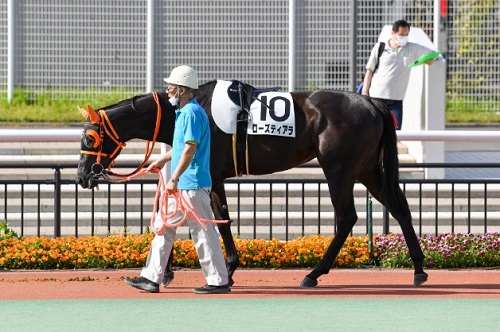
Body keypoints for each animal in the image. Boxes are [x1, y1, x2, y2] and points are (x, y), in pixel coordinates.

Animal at [76, 80, 428, 288]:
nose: (82, 176)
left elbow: (216, 220)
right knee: (400, 208)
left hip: (339, 170)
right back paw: (419, 269)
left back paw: (313, 274)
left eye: (90, 137)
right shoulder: (214, 178)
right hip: (367, 170)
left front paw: (224, 270)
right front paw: (173, 269)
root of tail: (373, 104)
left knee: (346, 218)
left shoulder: (210, 174)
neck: (187, 108)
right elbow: (214, 218)